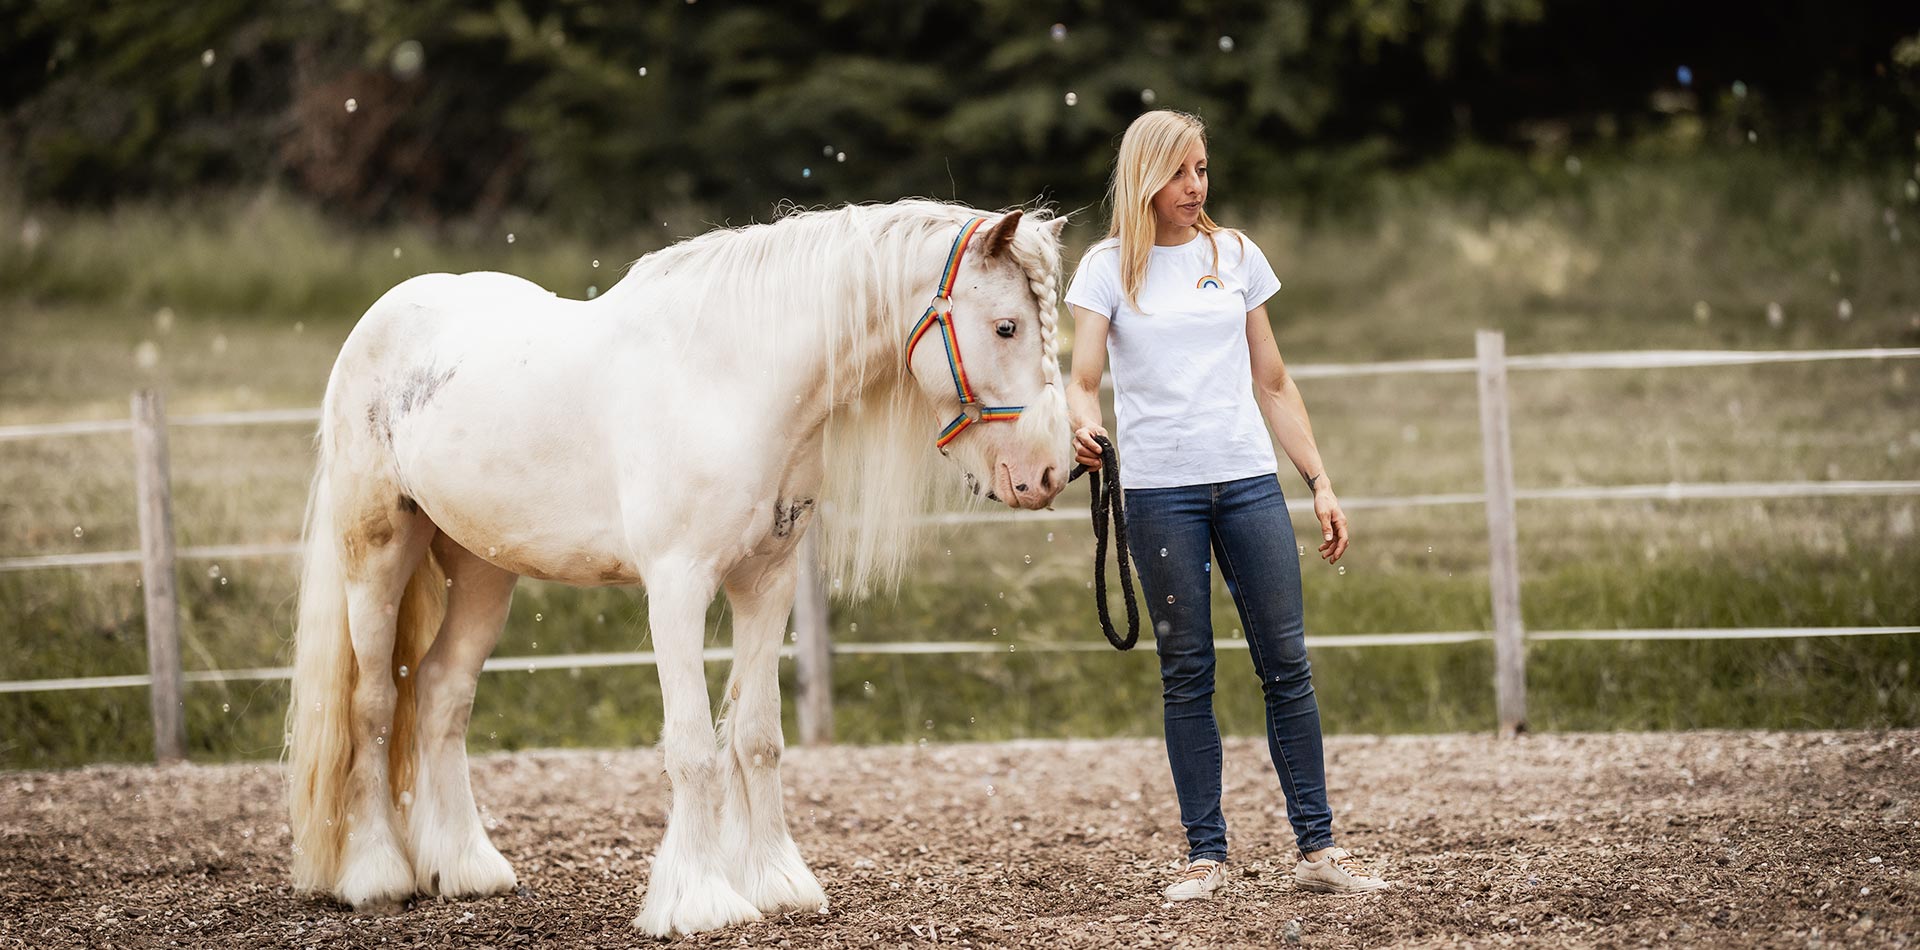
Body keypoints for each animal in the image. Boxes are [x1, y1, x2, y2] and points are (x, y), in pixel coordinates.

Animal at [283, 200, 1072, 936]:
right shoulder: (678, 586)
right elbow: (692, 746)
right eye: (1006, 326)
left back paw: (465, 868)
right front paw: (700, 901)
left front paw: (777, 882)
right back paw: (376, 874)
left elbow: (757, 737)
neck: (732, 380)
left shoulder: (768, 584)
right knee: (374, 701)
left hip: (482, 569)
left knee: (442, 691)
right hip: (377, 556)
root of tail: (383, 317)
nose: (1049, 472)